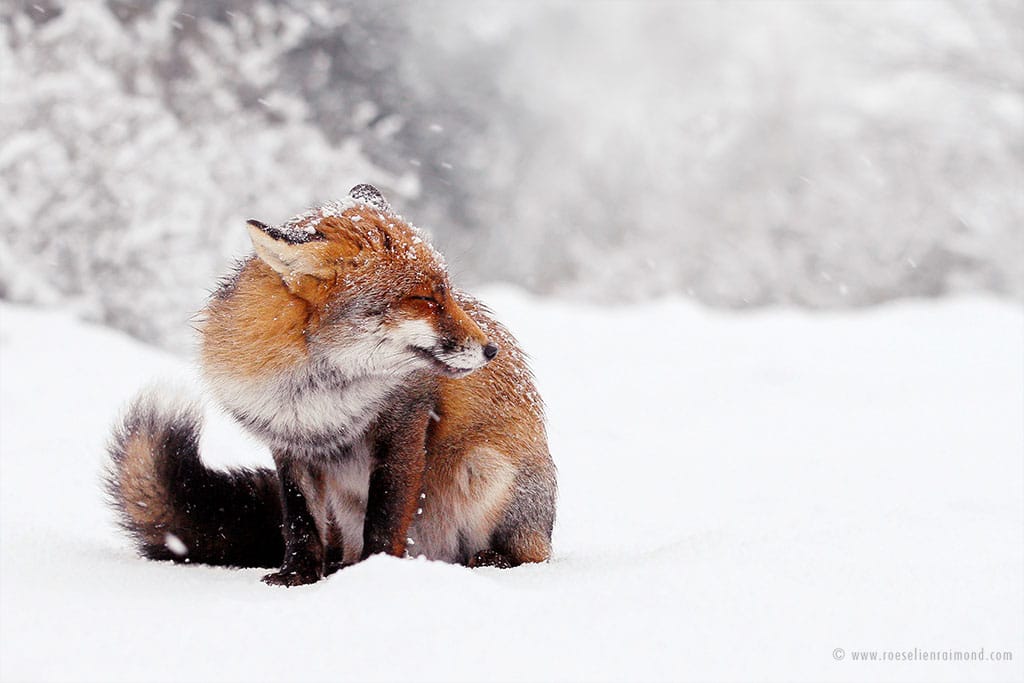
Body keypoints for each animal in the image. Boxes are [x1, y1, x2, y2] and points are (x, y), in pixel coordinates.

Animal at [104, 184, 557, 585]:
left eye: (447, 293)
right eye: (426, 299)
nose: (492, 349)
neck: (320, 392)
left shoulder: (404, 426)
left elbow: (386, 519)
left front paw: (375, 575)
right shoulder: (289, 442)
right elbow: (300, 522)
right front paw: (298, 576)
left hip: (484, 467)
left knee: (530, 556)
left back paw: (491, 559)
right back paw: (341, 566)